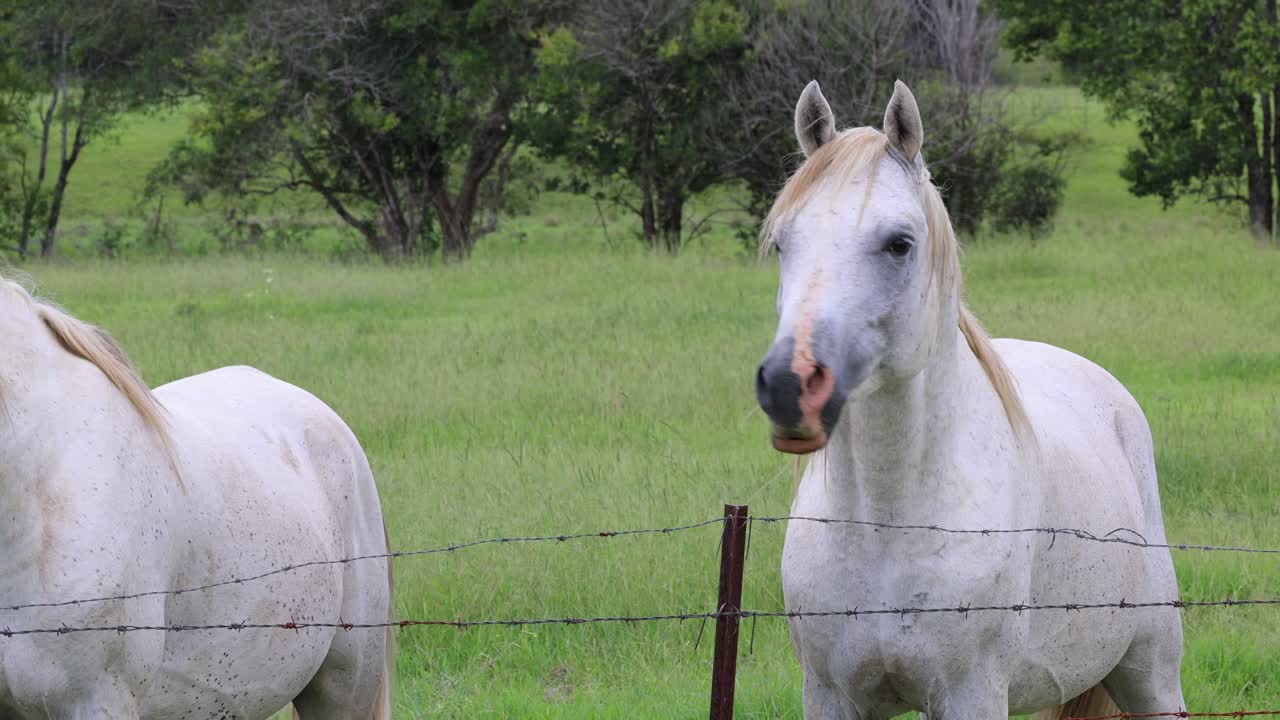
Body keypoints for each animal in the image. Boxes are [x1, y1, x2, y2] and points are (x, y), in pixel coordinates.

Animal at [753, 80, 1184, 719]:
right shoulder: (831, 695)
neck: (887, 525)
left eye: (899, 244)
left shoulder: (970, 693)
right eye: (783, 242)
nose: (789, 386)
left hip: (1151, 674)